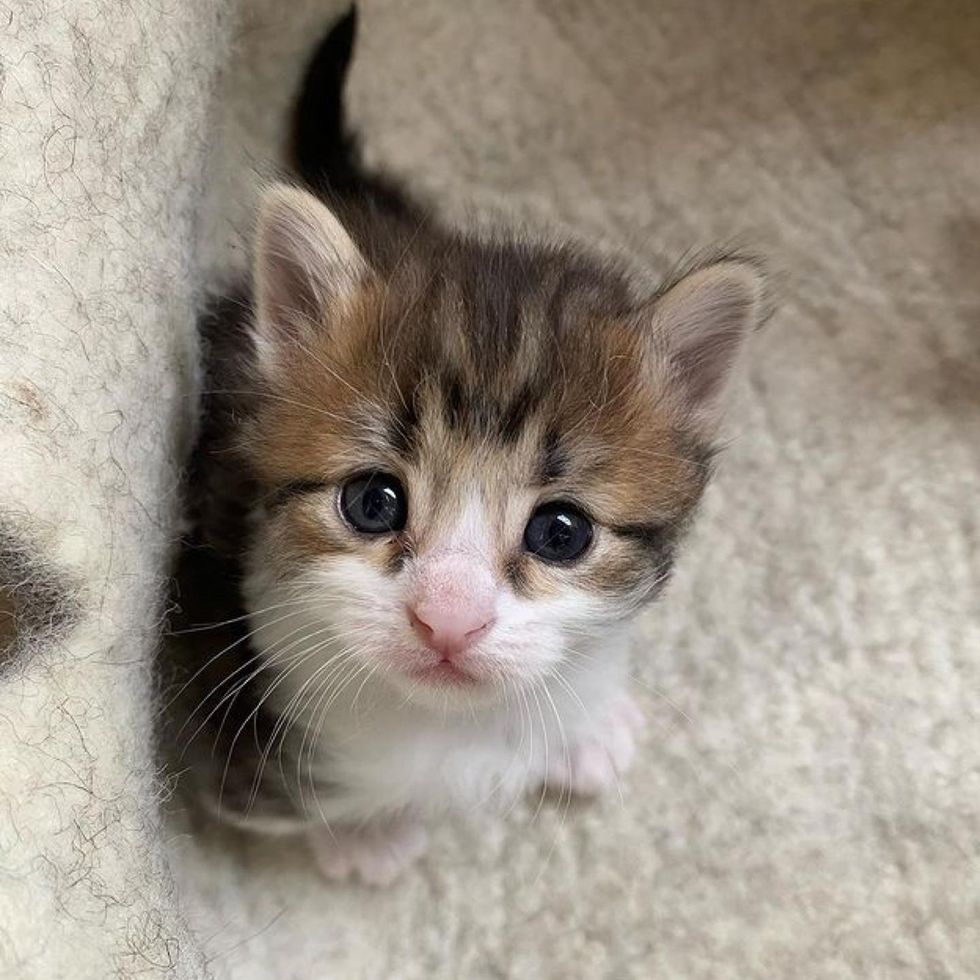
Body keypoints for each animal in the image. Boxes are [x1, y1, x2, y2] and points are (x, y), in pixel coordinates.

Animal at [168, 3, 764, 884]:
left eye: (562, 531)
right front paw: (362, 836)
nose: (448, 622)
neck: (451, 726)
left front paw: (582, 726)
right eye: (372, 502)